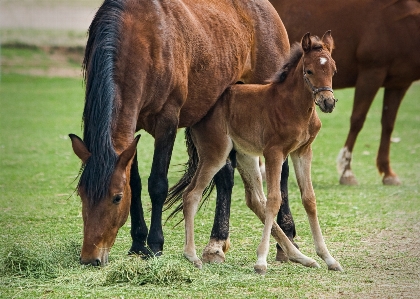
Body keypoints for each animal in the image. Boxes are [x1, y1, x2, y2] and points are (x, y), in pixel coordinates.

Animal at [69, 0, 292, 268]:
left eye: (116, 198)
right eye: (82, 194)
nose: (90, 258)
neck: (142, 38)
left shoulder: (167, 121)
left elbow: (157, 184)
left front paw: (155, 245)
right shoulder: (131, 133)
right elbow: (136, 182)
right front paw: (137, 243)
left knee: (282, 172)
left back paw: (286, 240)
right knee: (225, 175)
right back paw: (217, 244)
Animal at [169, 32, 342, 274]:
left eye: (333, 70)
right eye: (309, 71)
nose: (328, 102)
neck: (293, 106)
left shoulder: (302, 151)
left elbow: (309, 199)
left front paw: (329, 258)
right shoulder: (274, 152)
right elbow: (274, 200)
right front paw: (260, 261)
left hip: (245, 155)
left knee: (255, 200)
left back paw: (301, 257)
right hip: (215, 154)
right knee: (192, 194)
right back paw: (192, 256)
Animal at [270, 0, 420, 186]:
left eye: (334, 71)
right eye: (310, 71)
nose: (328, 102)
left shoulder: (399, 83)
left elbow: (388, 125)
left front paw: (388, 173)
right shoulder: (372, 72)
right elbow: (357, 120)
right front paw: (347, 171)